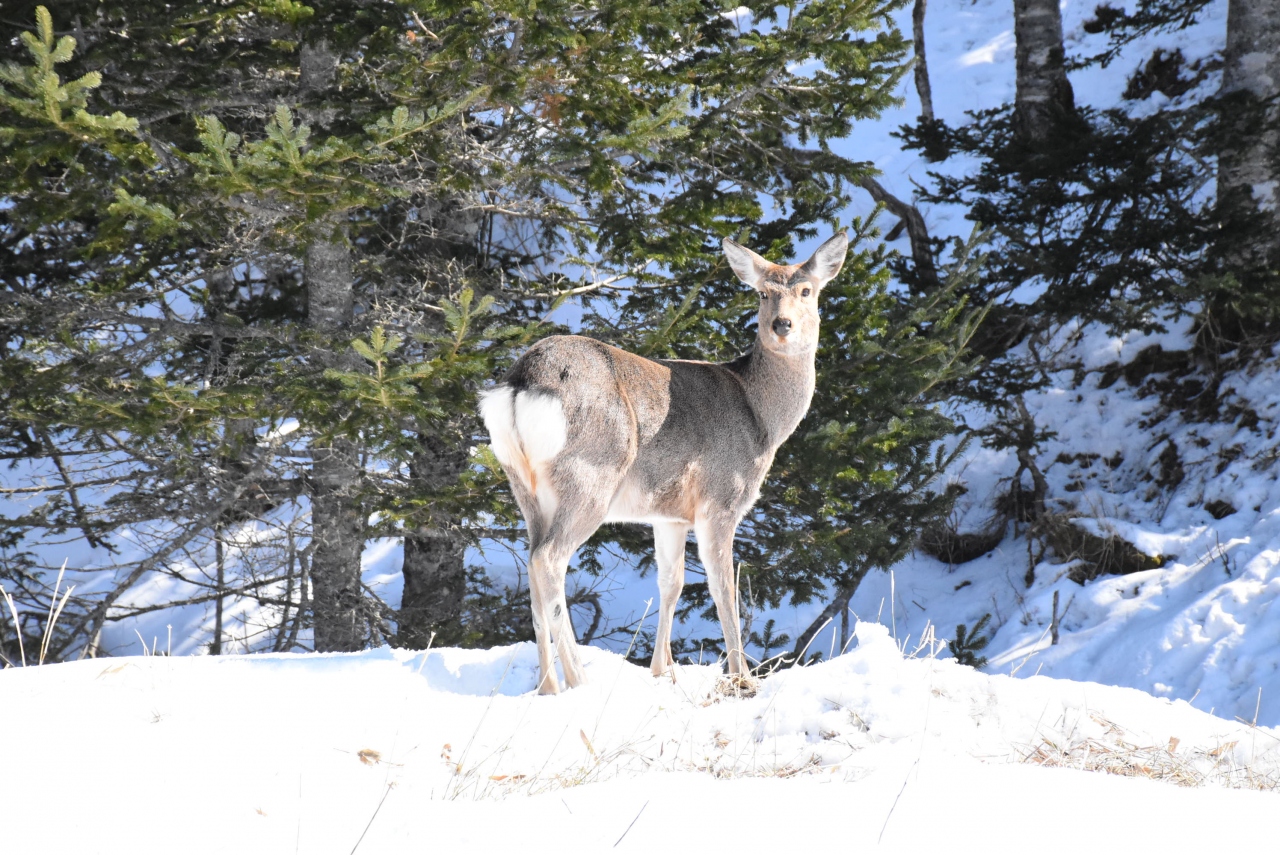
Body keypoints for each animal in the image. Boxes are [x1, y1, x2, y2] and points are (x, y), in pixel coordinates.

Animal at [476, 231, 844, 696]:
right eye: (762, 292)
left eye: (806, 290)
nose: (782, 325)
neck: (762, 417)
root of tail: (522, 380)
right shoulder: (720, 499)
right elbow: (723, 587)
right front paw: (741, 680)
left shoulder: (668, 515)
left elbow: (672, 583)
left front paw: (661, 670)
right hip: (592, 474)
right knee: (548, 560)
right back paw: (579, 681)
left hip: (524, 487)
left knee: (531, 563)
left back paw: (548, 688)